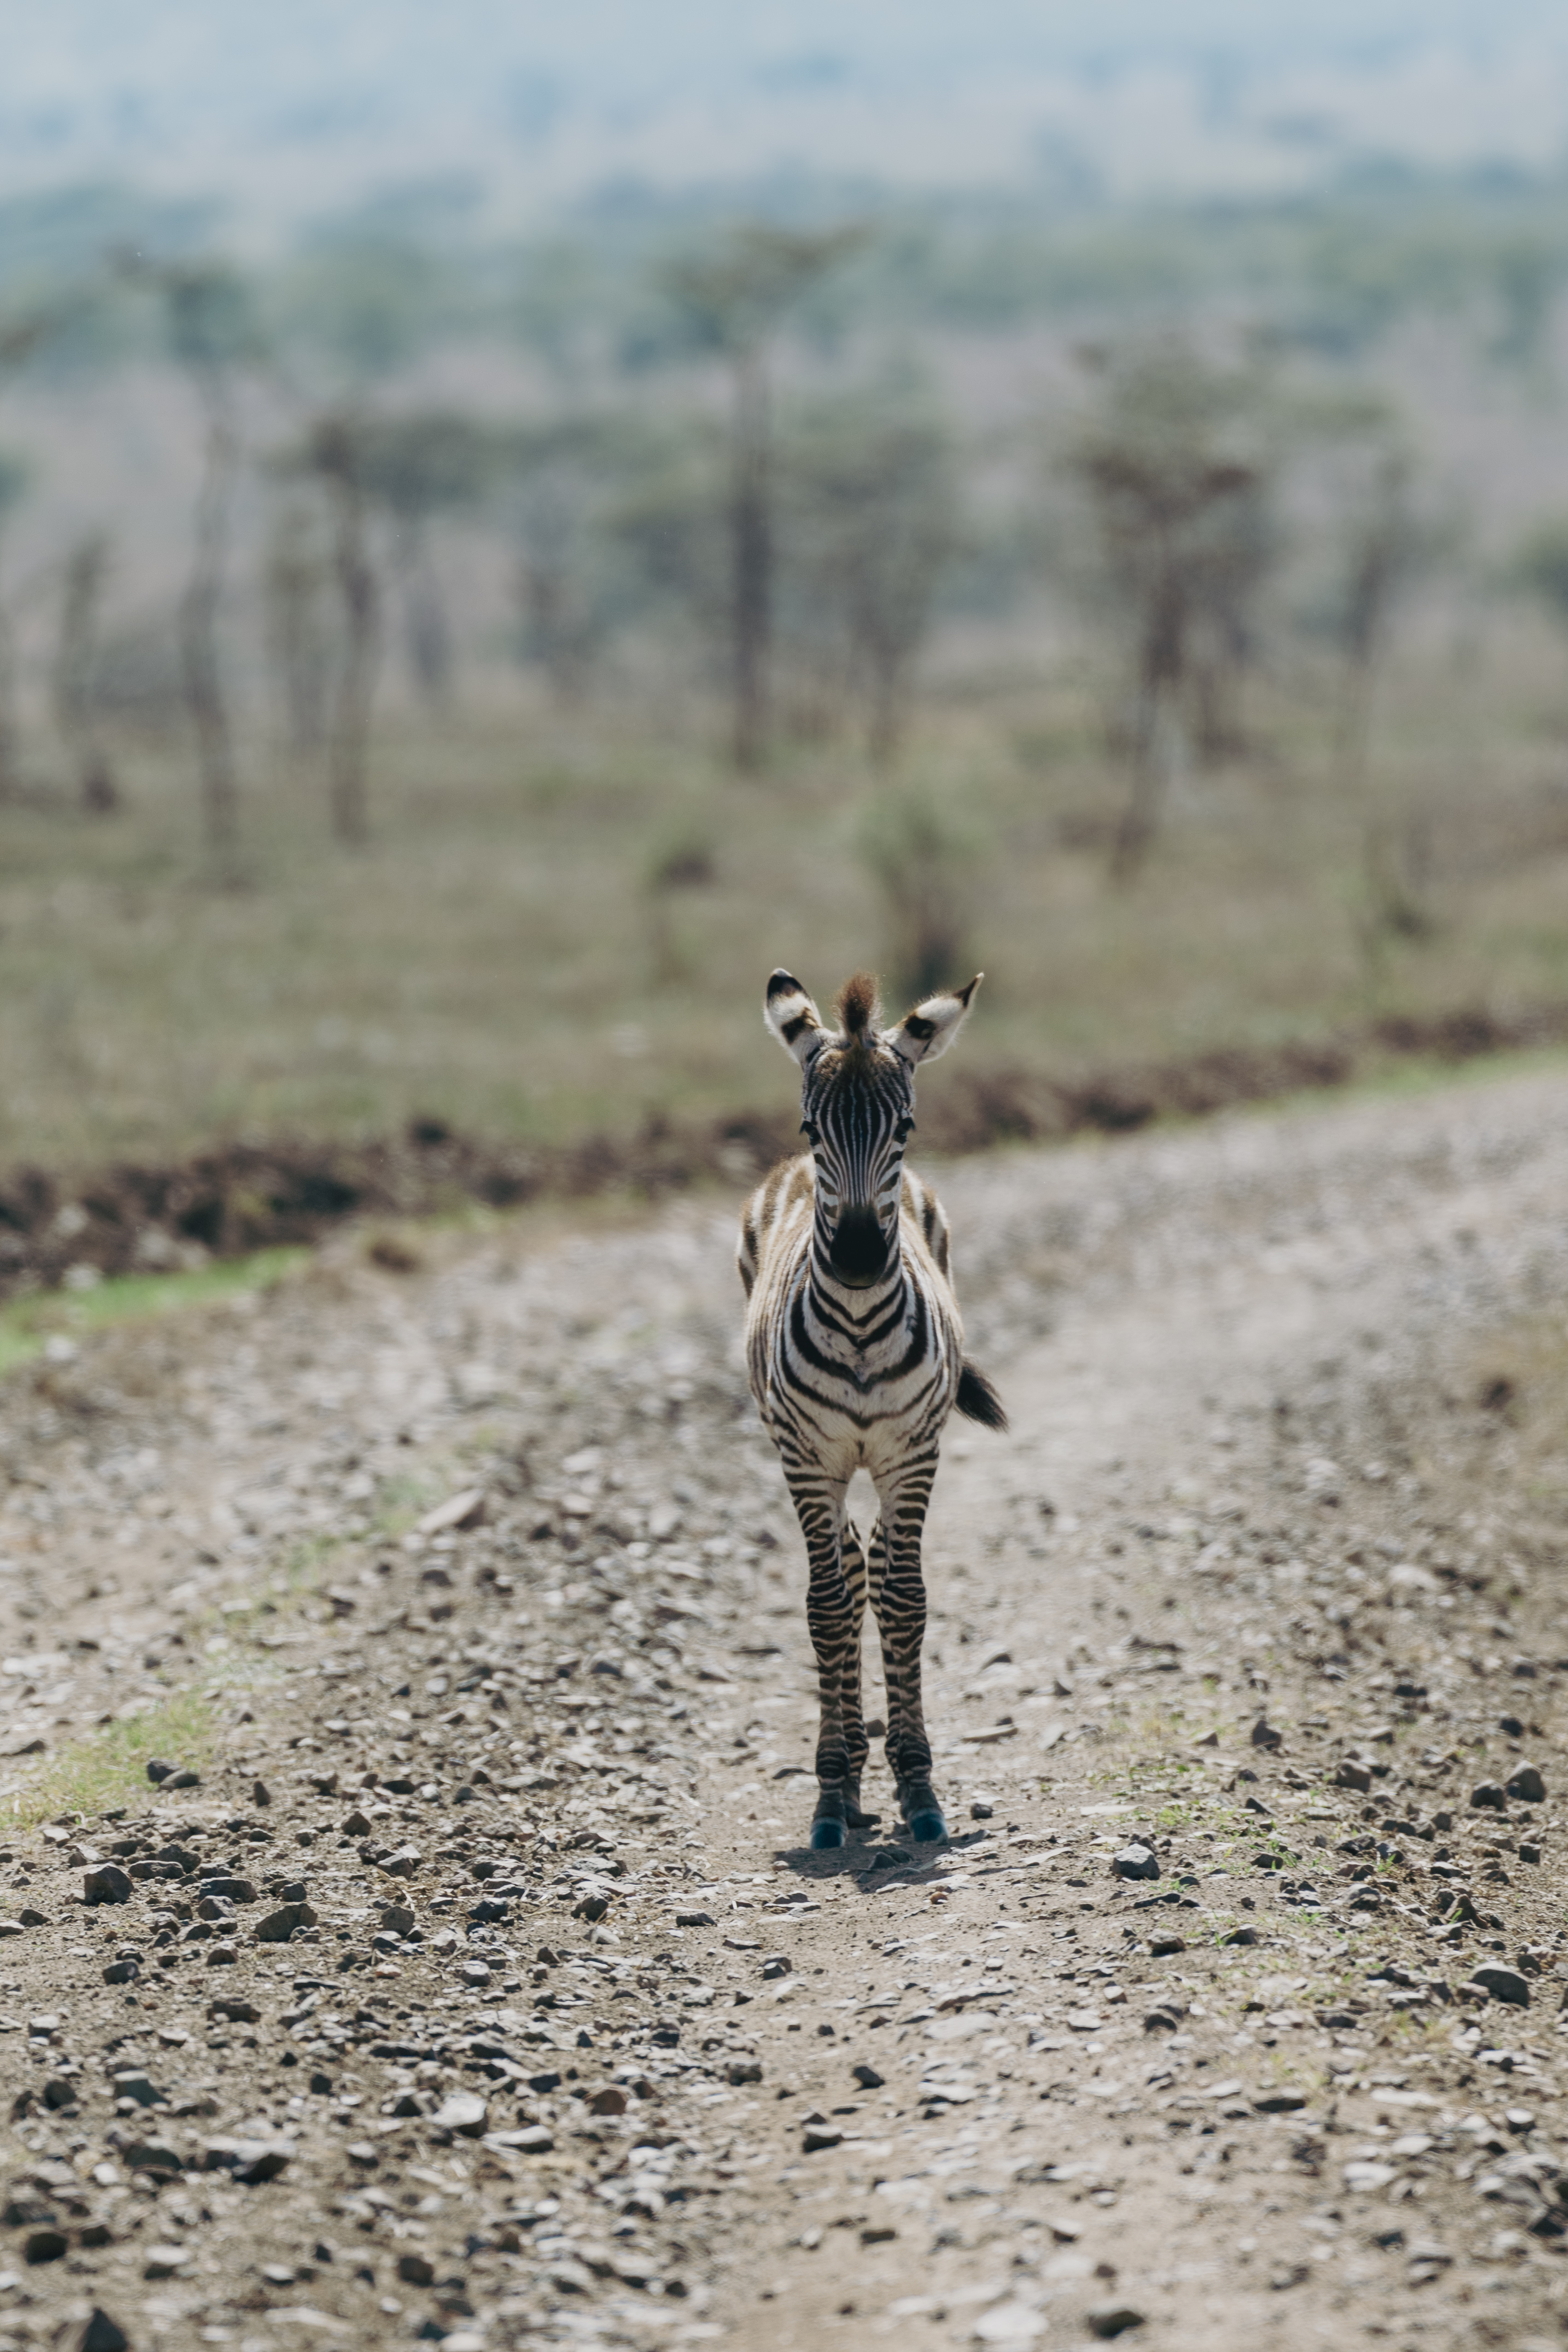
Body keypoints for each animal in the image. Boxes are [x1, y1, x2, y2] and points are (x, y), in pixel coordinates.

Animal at [738, 966, 1007, 1852]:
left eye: (907, 1126)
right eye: (810, 1125)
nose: (857, 1257)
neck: (857, 1322)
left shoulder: (912, 1454)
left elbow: (907, 1600)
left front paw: (919, 1786)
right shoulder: (807, 1459)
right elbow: (827, 1607)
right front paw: (830, 1795)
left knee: (879, 1567)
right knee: (852, 1571)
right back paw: (852, 1774)